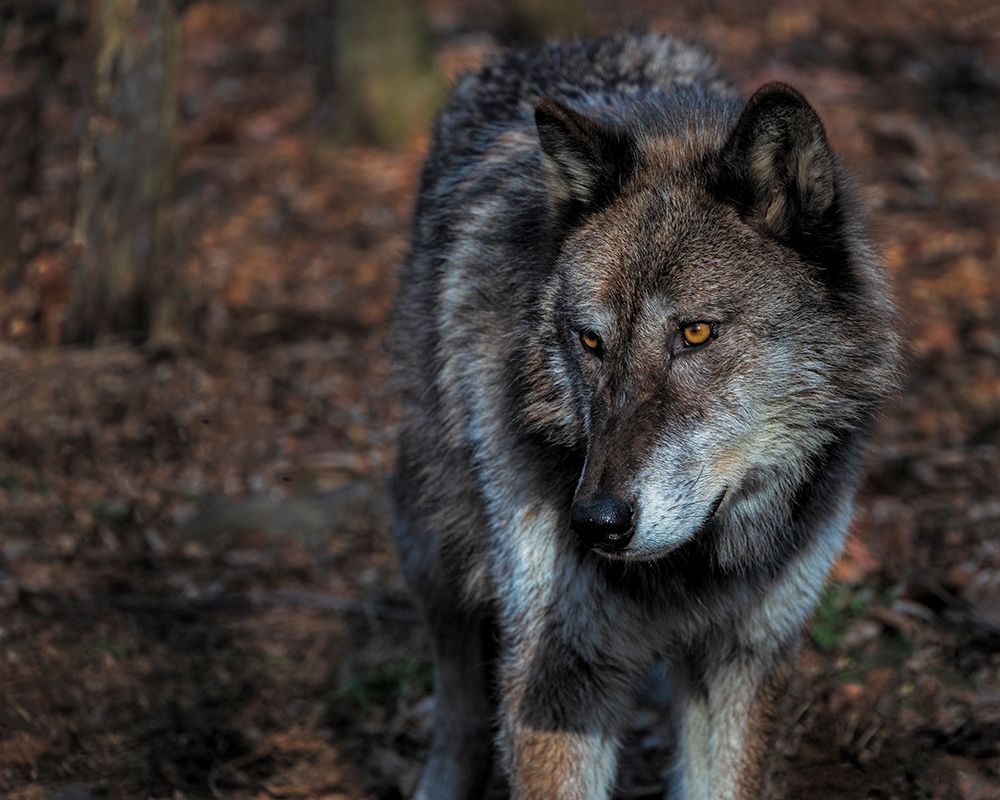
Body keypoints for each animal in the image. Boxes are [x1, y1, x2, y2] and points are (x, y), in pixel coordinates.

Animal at [389, 32, 900, 800]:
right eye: (590, 341)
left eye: (695, 333)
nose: (595, 522)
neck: (690, 571)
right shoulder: (559, 676)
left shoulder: (743, 661)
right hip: (434, 546)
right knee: (457, 693)